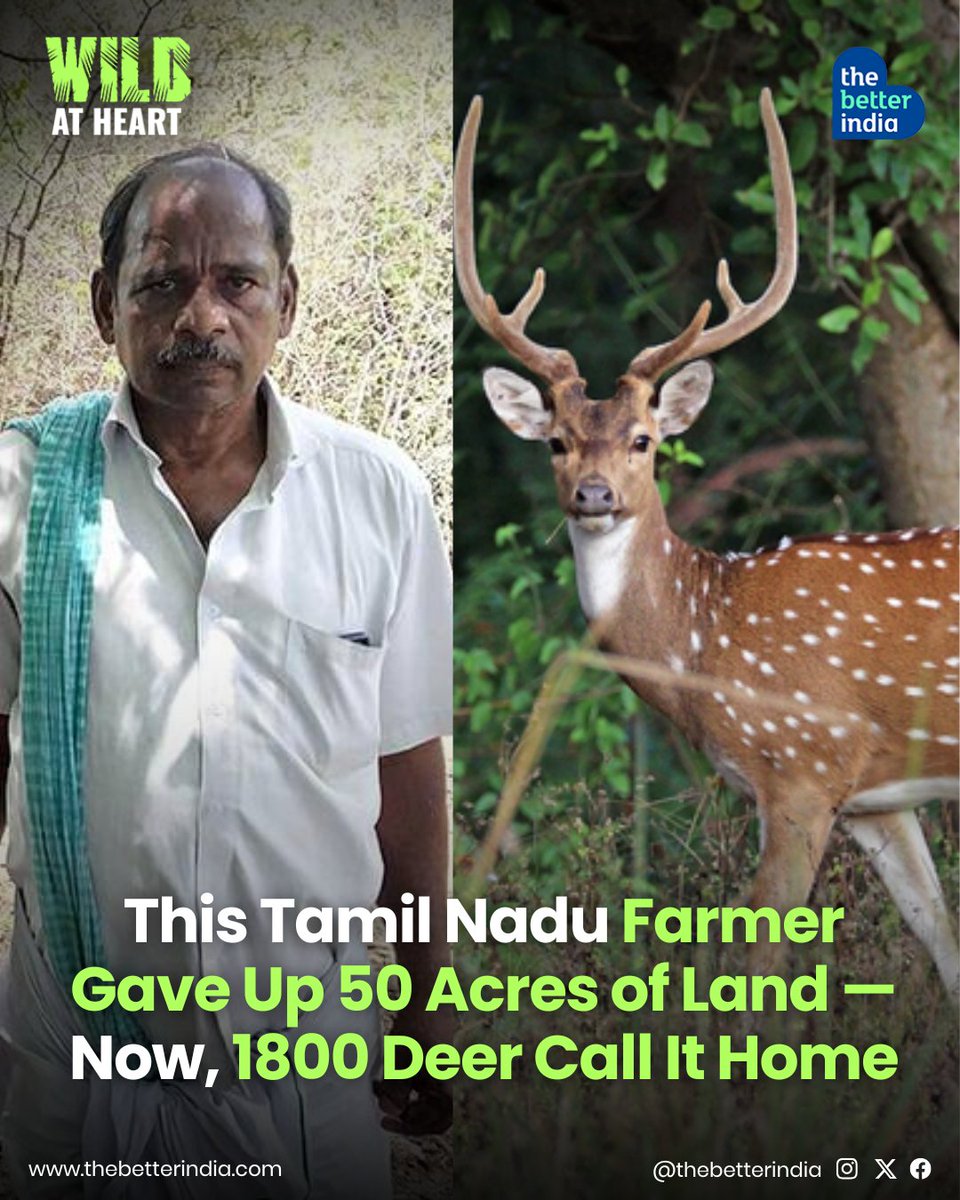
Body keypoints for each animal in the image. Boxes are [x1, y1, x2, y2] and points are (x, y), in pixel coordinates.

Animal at [455, 88, 960, 1000]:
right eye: (556, 443)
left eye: (646, 440)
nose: (594, 494)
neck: (706, 639)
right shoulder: (876, 796)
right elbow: (944, 944)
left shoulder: (801, 766)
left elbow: (754, 966)